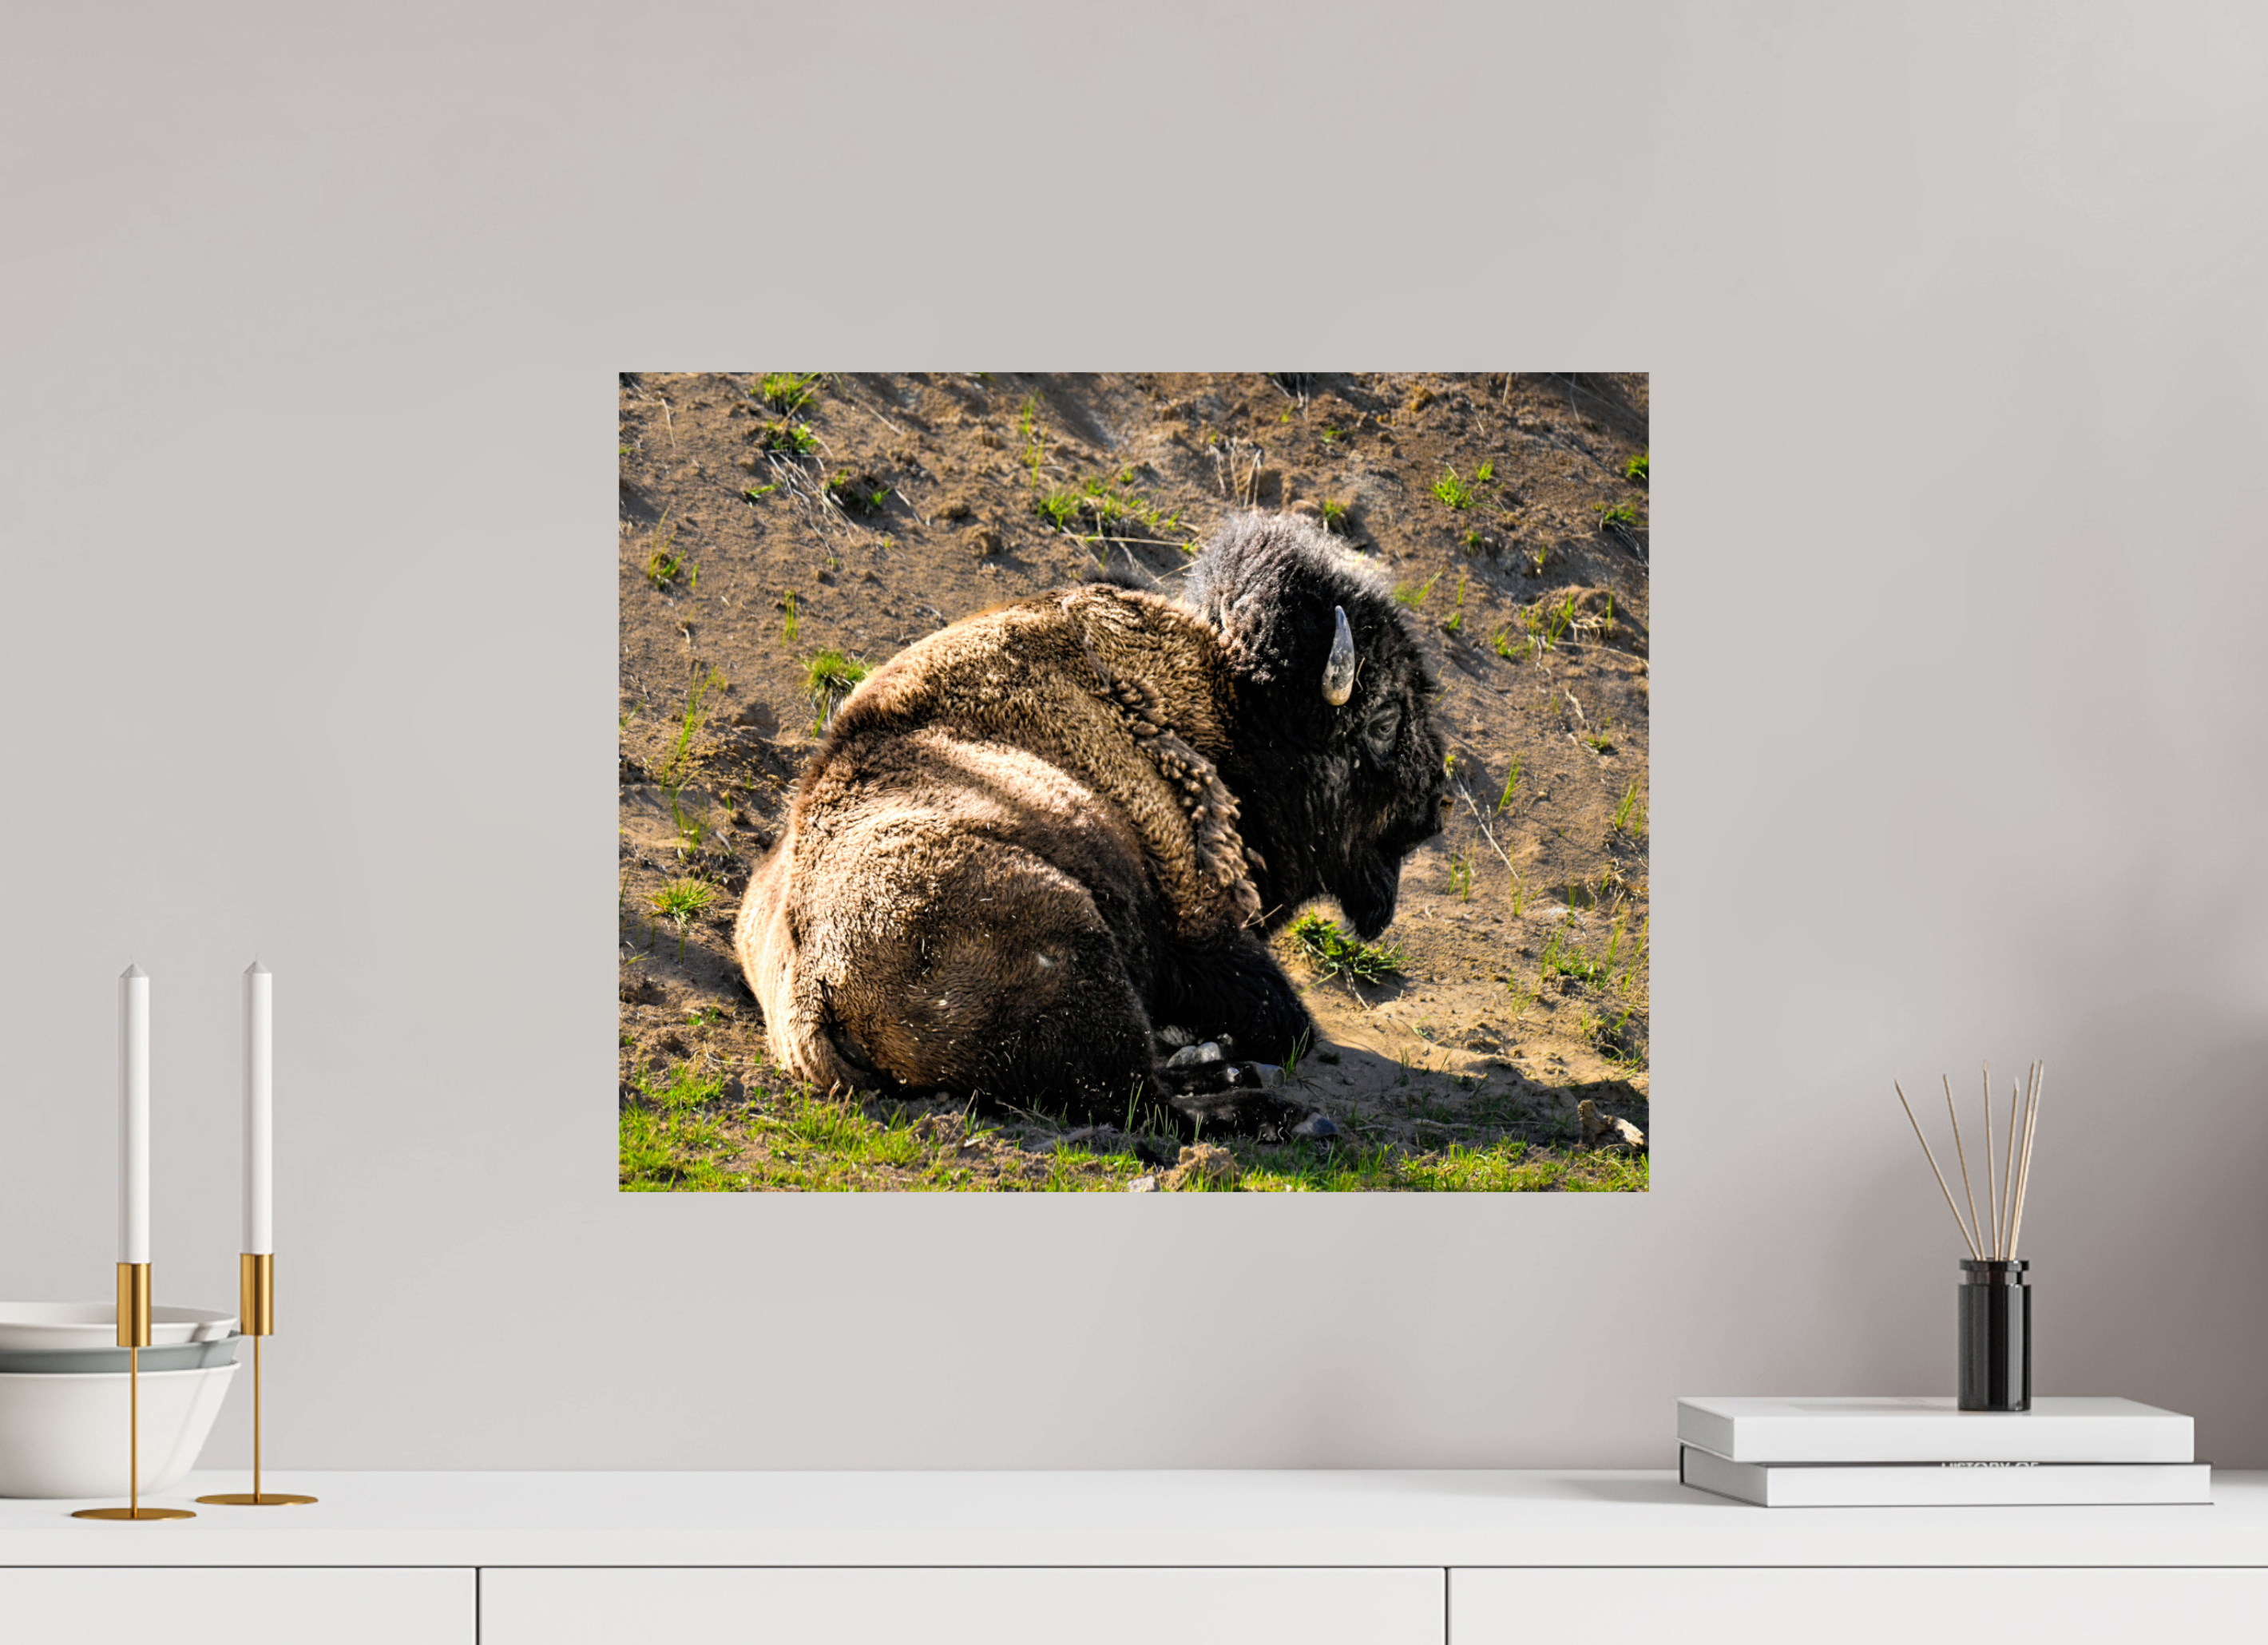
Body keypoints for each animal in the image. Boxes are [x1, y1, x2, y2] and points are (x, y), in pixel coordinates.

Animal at [734, 511, 1449, 1137]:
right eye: (1384, 719)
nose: (1435, 805)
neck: (1230, 707)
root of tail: (815, 990)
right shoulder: (1204, 926)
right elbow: (1290, 1023)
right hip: (1075, 947)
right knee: (1142, 1101)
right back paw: (1287, 1112)